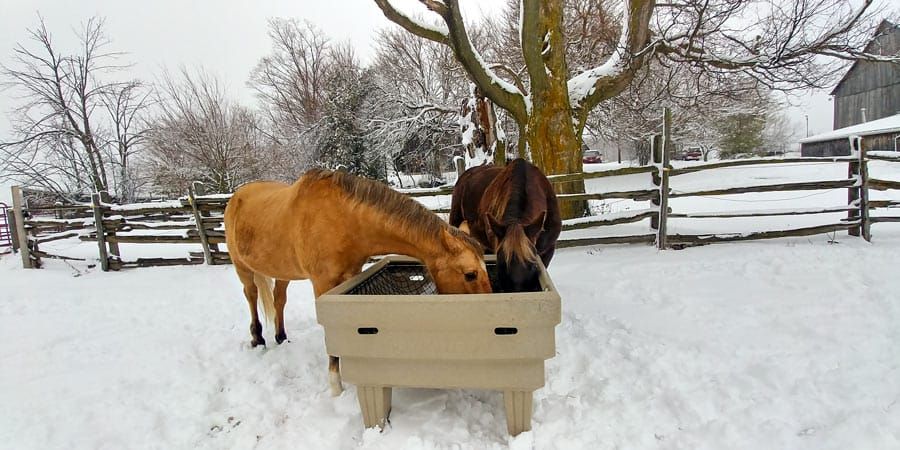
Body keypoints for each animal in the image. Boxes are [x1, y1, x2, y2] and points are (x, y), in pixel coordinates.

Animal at [224, 169, 492, 396]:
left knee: (279, 299)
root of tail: (236, 197)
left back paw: (281, 337)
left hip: (282, 272)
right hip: (242, 268)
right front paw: (336, 385)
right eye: (470, 274)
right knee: (251, 295)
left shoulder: (351, 277)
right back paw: (258, 338)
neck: (341, 219)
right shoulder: (322, 284)